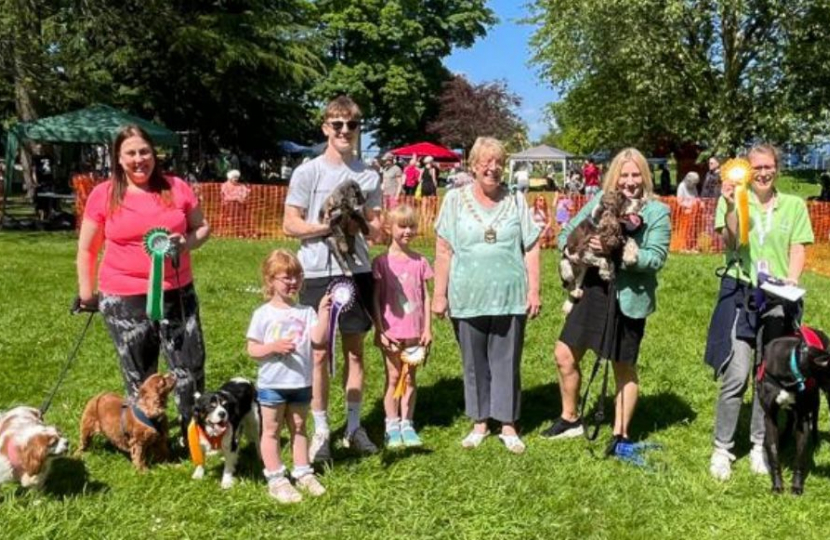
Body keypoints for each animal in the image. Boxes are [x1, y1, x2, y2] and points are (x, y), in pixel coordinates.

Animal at [760, 324, 830, 494]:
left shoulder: (803, 419)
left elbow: (800, 458)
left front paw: (797, 486)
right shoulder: (770, 417)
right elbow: (773, 453)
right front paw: (777, 485)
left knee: (814, 419)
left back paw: (816, 442)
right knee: (791, 418)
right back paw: (785, 439)